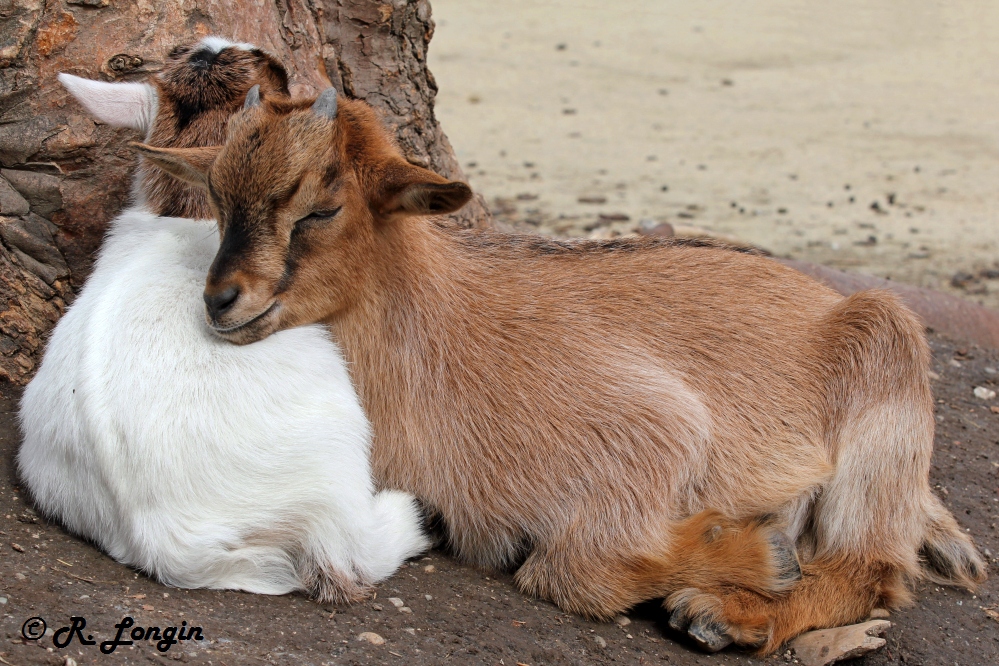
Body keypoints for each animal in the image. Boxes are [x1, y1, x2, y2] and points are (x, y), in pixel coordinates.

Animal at [137, 87, 988, 648]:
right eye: (218, 196)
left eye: (319, 207)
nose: (221, 300)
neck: (444, 336)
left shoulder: (652, 424)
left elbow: (569, 570)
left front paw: (754, 556)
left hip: (887, 371)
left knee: (872, 571)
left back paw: (726, 614)